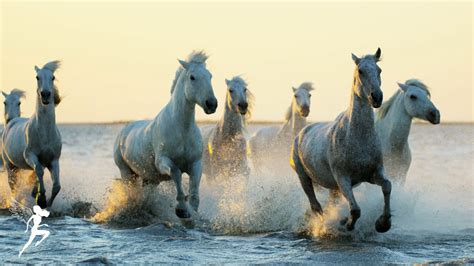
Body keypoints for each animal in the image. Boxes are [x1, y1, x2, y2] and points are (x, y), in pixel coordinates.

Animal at [2, 61, 62, 209]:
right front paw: (41, 199)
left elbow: (57, 186)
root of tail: (11, 121)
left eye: (52, 77)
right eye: (37, 77)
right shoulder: (30, 156)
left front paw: (47, 204)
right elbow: (39, 171)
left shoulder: (54, 160)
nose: (45, 94)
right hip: (9, 165)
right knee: (13, 185)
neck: (45, 132)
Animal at [114, 51, 218, 218]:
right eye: (192, 77)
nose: (212, 104)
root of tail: (123, 132)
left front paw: (191, 211)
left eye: (210, 76)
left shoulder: (195, 164)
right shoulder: (163, 161)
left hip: (150, 179)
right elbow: (176, 173)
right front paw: (181, 209)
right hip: (127, 174)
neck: (182, 130)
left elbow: (194, 190)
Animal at [292, 48, 392, 233]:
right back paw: (325, 226)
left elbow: (387, 186)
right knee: (316, 206)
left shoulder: (373, 173)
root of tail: (301, 133)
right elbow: (356, 209)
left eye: (379, 70)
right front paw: (346, 224)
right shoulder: (343, 178)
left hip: (333, 188)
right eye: (360, 71)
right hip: (304, 177)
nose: (377, 97)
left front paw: (383, 223)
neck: (358, 137)